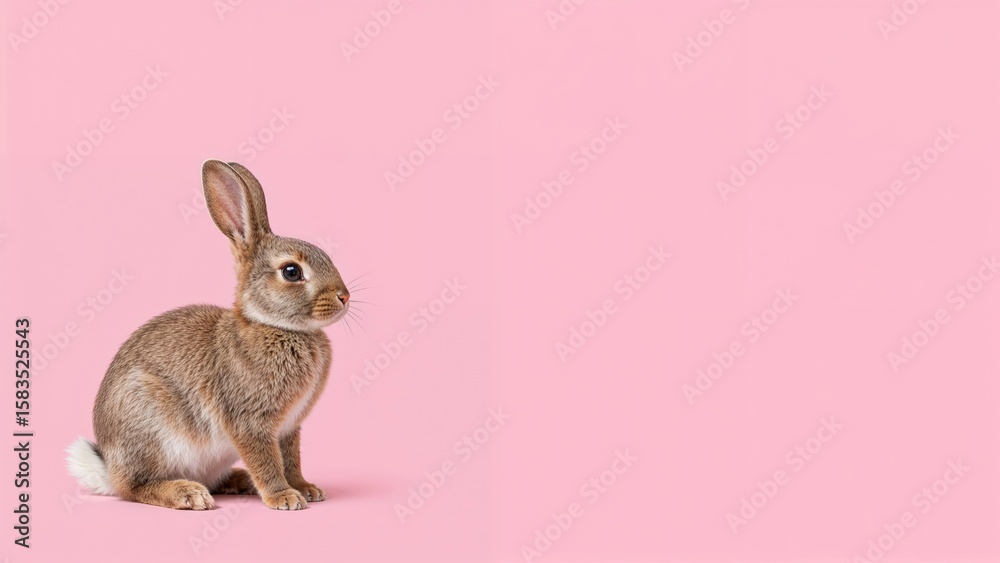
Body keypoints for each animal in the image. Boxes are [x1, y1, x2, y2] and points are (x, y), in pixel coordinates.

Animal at [65, 160, 350, 510]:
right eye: (291, 272)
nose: (344, 296)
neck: (275, 326)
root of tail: (107, 469)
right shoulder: (250, 422)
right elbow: (267, 461)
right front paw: (284, 497)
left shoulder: (288, 428)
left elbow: (290, 459)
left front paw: (306, 489)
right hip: (148, 424)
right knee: (134, 487)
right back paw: (187, 494)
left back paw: (239, 481)